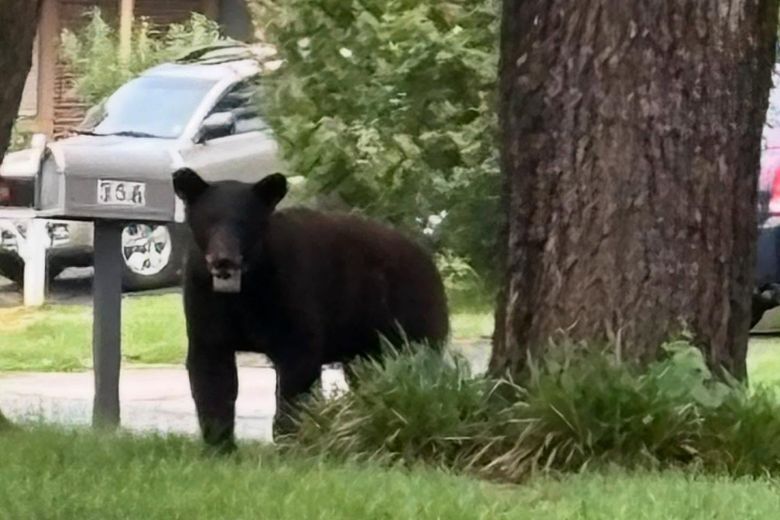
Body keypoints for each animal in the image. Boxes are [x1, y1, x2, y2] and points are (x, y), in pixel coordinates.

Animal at [172, 168, 450, 452]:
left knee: (417, 358)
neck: (245, 286)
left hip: (410, 314)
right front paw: (219, 445)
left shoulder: (291, 292)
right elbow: (212, 370)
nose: (223, 259)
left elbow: (297, 366)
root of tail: (427, 259)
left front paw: (290, 440)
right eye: (209, 220)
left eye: (244, 222)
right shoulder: (205, 301)